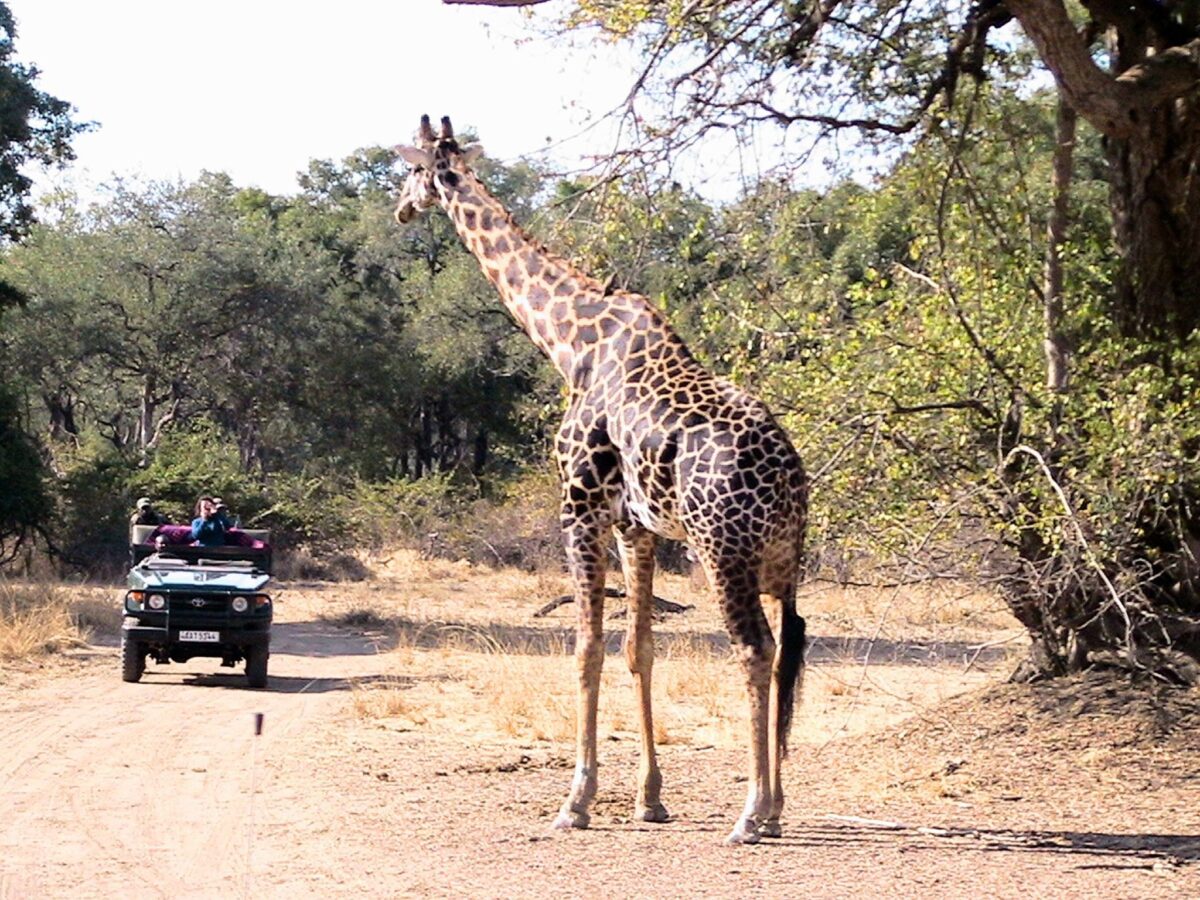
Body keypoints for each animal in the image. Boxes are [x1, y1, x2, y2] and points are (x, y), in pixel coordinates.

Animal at [393, 116, 808, 844]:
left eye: (411, 169)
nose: (400, 208)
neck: (569, 342)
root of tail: (791, 477)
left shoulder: (579, 505)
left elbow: (585, 646)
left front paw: (576, 801)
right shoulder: (636, 526)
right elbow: (639, 647)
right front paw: (649, 798)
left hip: (723, 551)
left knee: (754, 650)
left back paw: (750, 814)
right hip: (782, 561)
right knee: (785, 653)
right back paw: (777, 808)